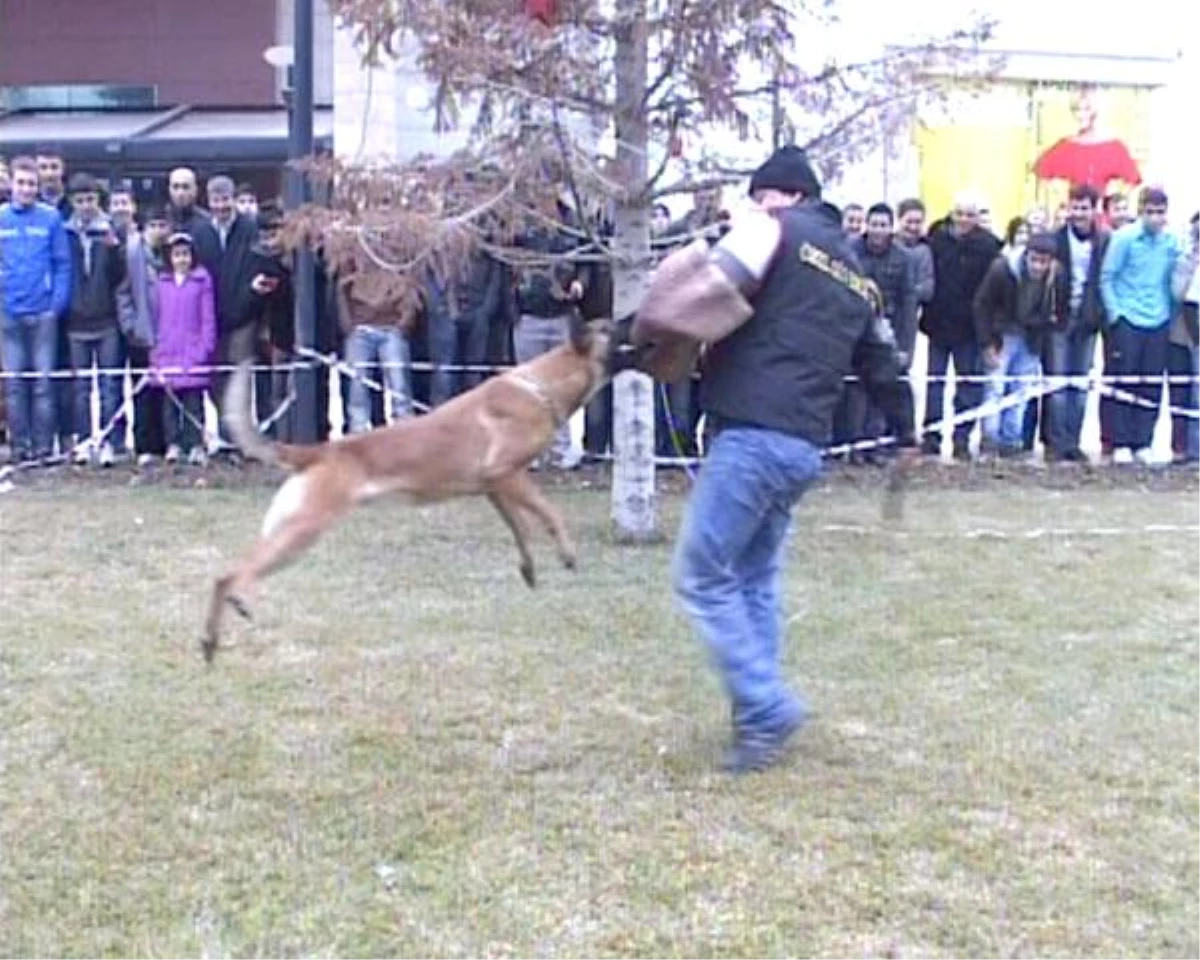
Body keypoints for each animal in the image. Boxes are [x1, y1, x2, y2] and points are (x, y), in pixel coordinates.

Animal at [202, 312, 614, 662]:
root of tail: (322, 450)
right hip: (302, 531)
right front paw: (567, 555)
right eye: (615, 329)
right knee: (231, 576)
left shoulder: (496, 487)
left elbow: (522, 530)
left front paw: (529, 570)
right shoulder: (507, 474)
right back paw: (230, 613)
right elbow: (550, 514)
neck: (541, 385)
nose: (628, 317)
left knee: (228, 573)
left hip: (291, 533)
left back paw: (212, 639)